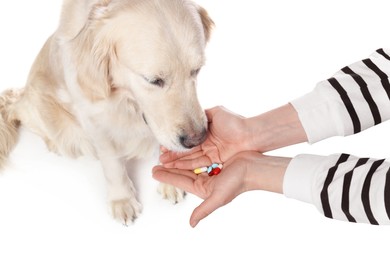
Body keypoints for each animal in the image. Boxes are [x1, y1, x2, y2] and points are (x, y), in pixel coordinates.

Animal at [0, 0, 213, 223]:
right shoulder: (95, 119)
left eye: (196, 70)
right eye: (153, 80)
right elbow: (113, 164)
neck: (127, 100)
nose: (197, 139)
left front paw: (170, 180)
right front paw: (122, 200)